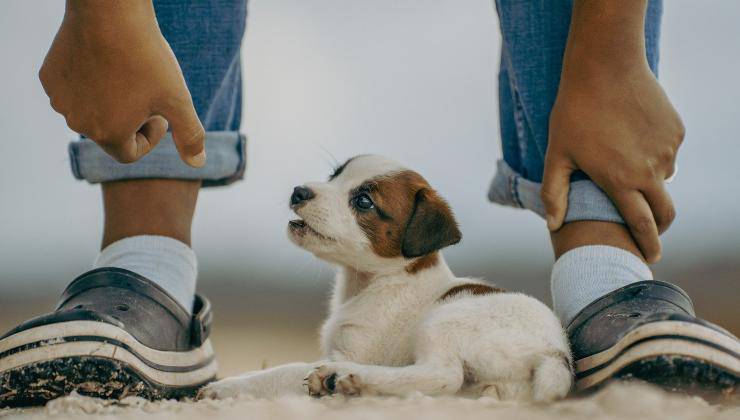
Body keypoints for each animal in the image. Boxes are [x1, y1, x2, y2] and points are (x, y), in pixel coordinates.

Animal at [199, 153, 576, 400]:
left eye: (364, 201)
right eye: (335, 175)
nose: (299, 191)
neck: (376, 281)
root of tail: (555, 354)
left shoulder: (353, 352)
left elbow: (283, 371)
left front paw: (227, 387)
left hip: (445, 320)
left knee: (443, 377)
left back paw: (344, 380)